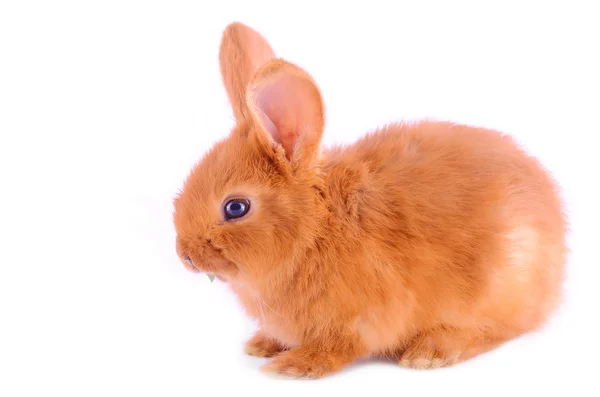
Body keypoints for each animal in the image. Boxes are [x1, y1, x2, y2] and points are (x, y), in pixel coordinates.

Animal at [172, 20, 568, 378]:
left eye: (235, 207)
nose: (185, 256)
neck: (316, 227)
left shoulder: (361, 319)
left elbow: (338, 347)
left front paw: (293, 366)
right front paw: (263, 344)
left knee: (495, 330)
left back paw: (430, 352)